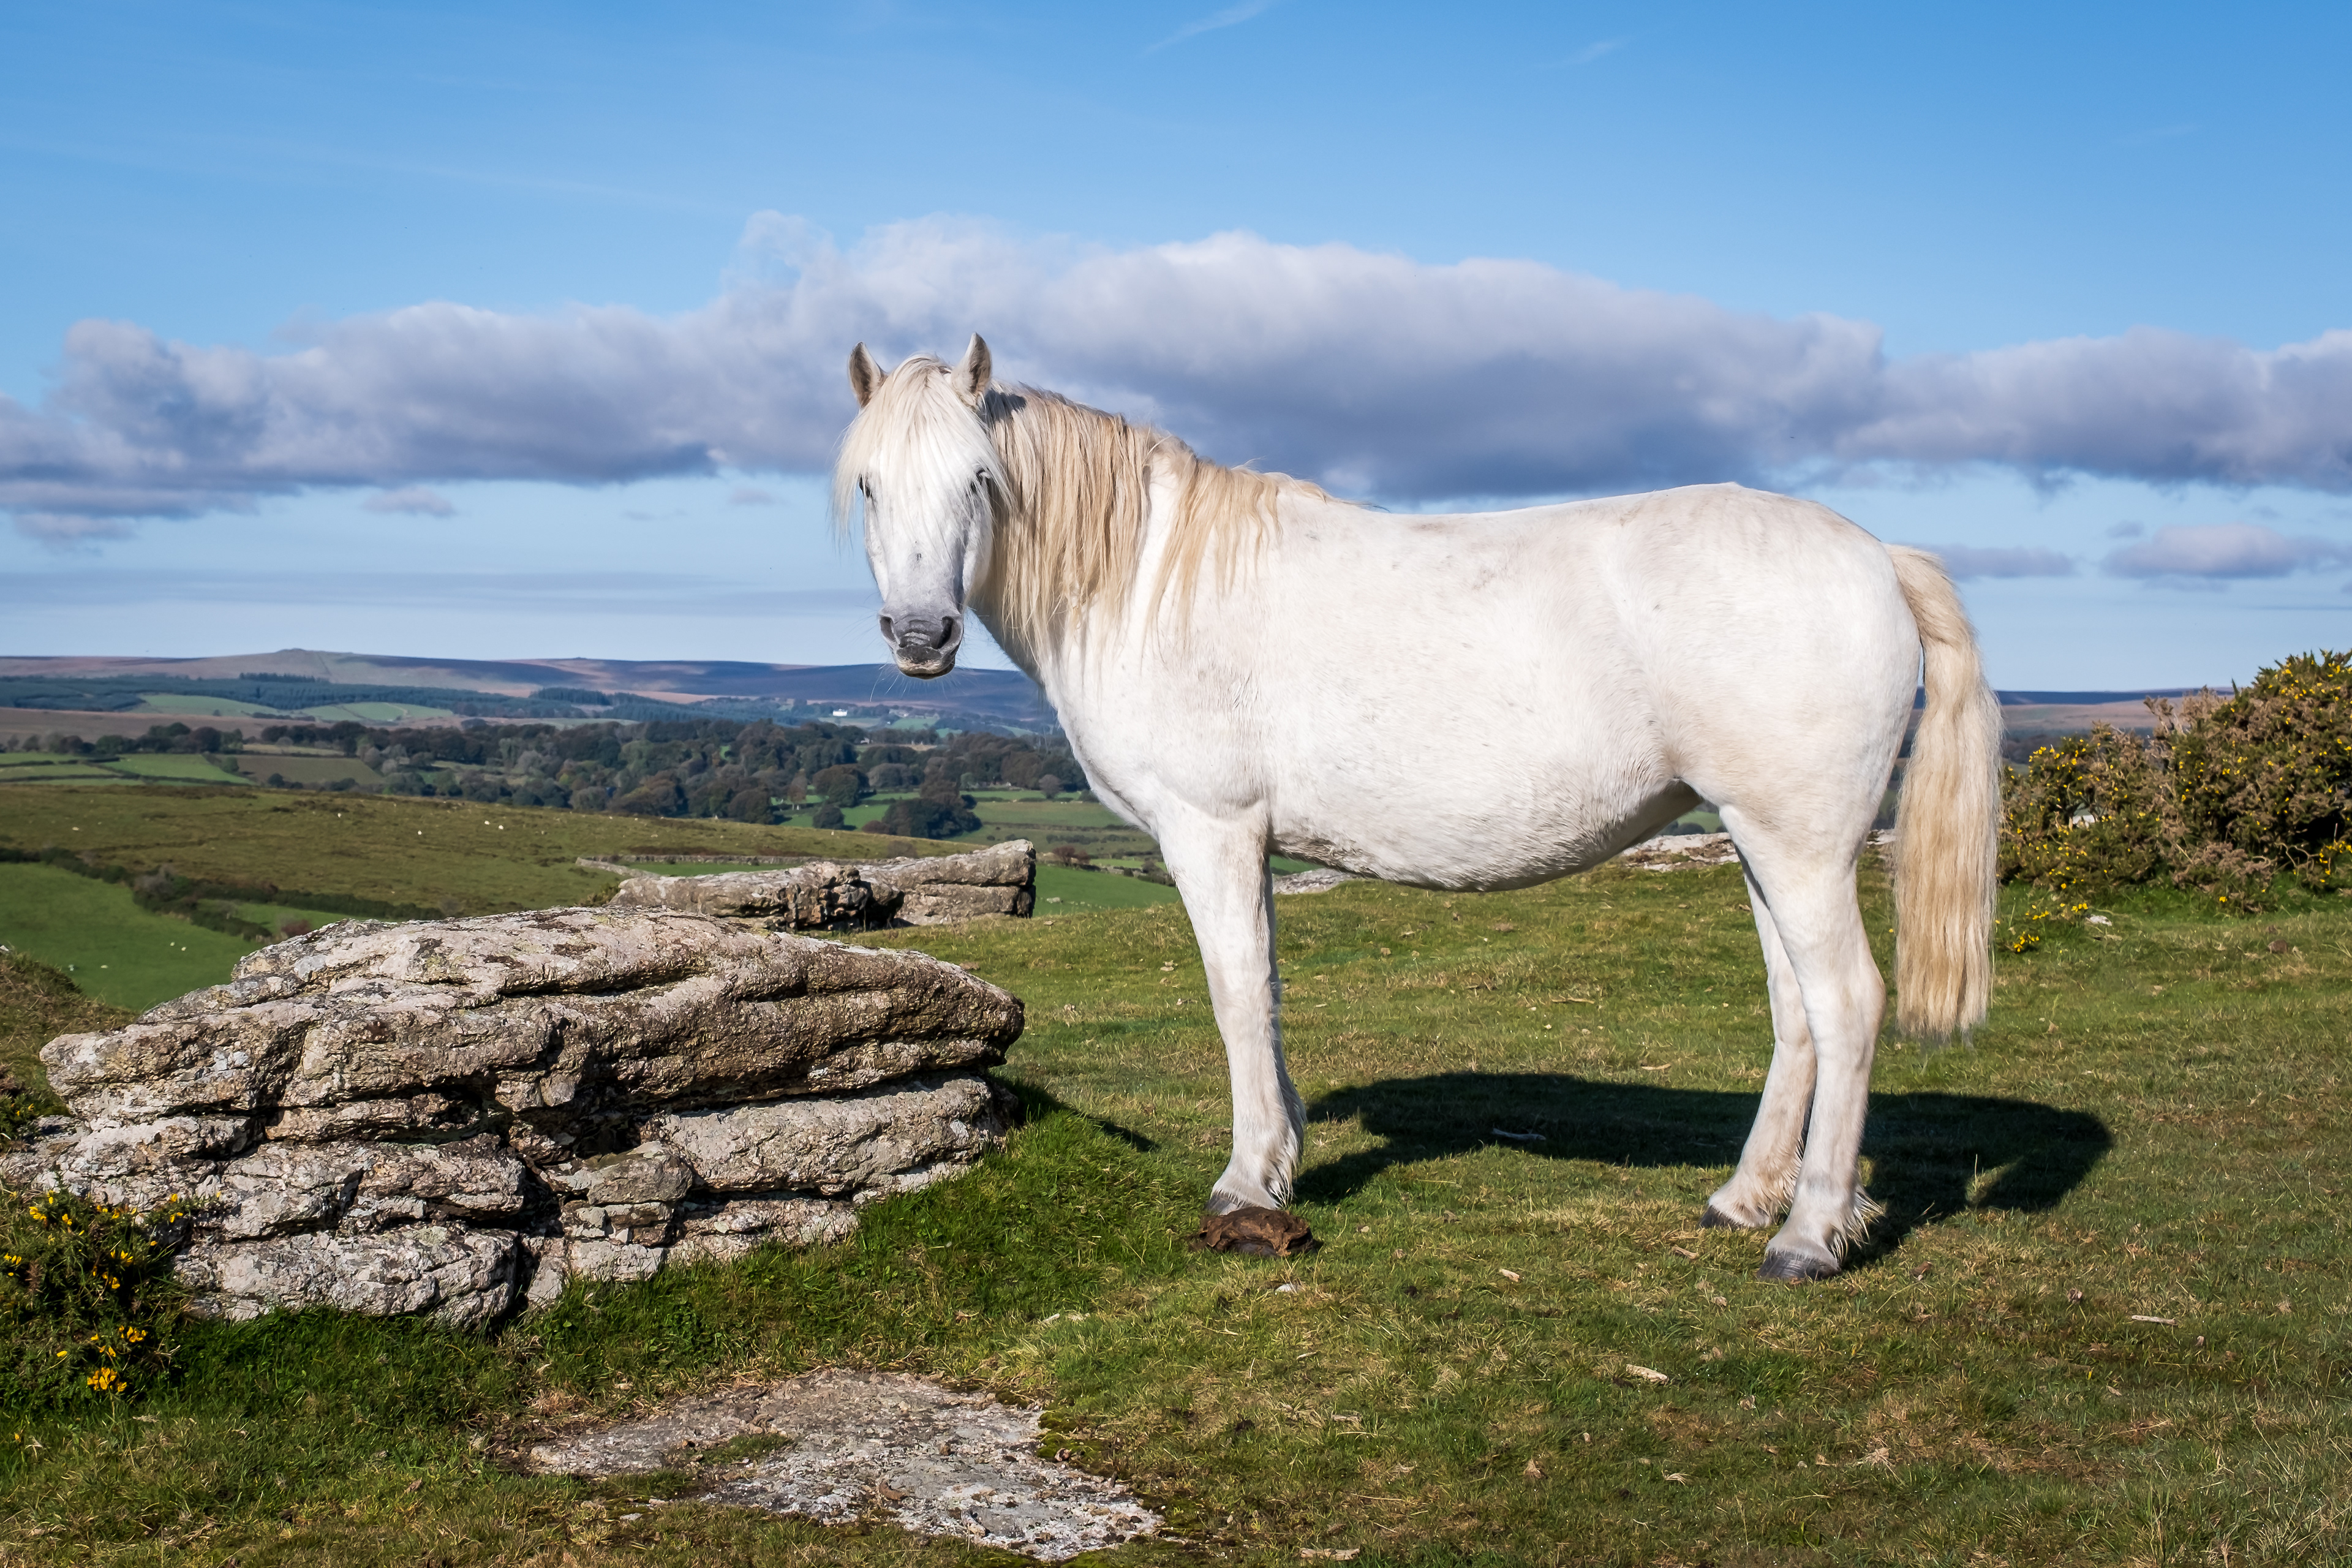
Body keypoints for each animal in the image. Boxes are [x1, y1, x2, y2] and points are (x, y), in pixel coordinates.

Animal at [833, 335, 2002, 1282]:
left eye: (979, 479)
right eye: (871, 489)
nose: (923, 636)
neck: (1149, 583)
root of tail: (1878, 558)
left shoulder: (1211, 832)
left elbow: (1234, 995)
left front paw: (1245, 1185)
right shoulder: (1252, 842)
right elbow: (1266, 990)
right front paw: (1281, 1161)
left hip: (1799, 847)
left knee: (1847, 1004)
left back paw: (1807, 1238)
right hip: (1763, 842)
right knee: (1796, 1012)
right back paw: (1743, 1200)